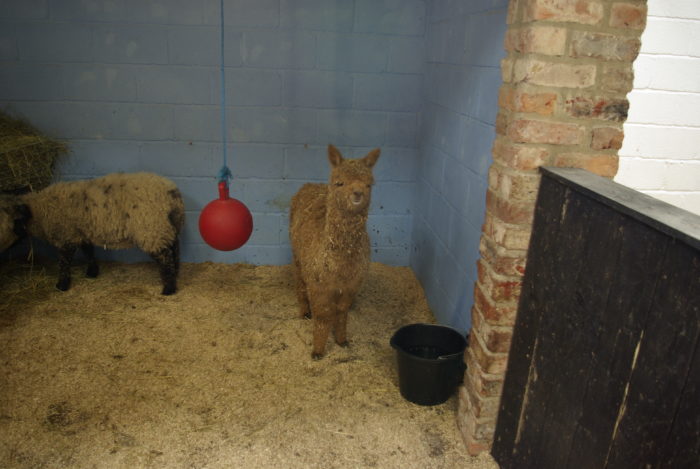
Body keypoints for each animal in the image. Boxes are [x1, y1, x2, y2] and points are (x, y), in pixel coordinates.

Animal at [0, 172, 183, 294]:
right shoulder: (81, 232)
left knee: (165, 257)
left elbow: (64, 263)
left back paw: (169, 288)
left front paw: (62, 285)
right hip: (168, 226)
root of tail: (171, 194)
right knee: (174, 248)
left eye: (13, 221)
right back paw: (176, 273)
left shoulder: (67, 235)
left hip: (151, 229)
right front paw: (92, 272)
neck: (41, 210)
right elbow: (88, 251)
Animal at [288, 144, 380, 356]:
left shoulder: (350, 286)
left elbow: (341, 313)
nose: (357, 193)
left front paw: (342, 340)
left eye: (368, 184)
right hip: (298, 255)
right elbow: (323, 315)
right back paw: (304, 312)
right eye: (340, 183)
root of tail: (310, 185)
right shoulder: (319, 284)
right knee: (299, 280)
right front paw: (317, 351)